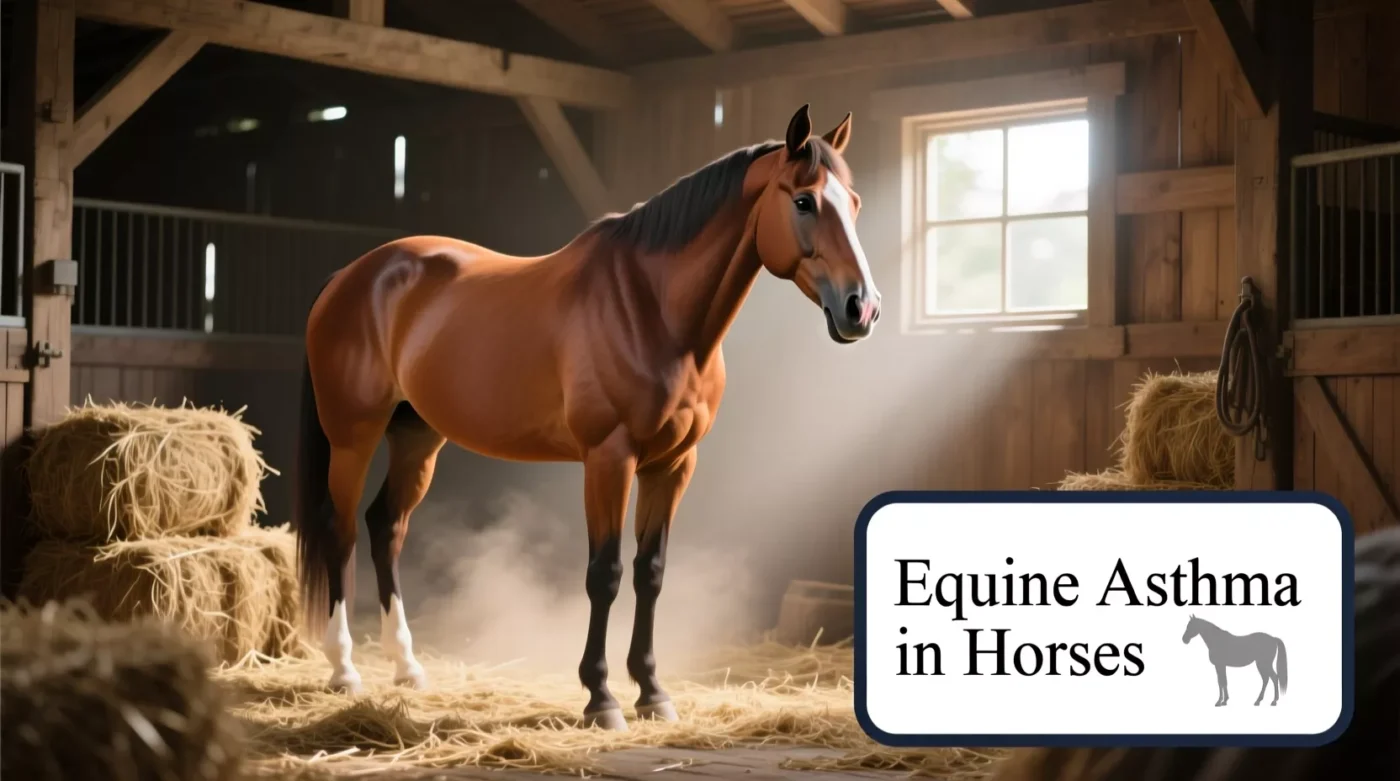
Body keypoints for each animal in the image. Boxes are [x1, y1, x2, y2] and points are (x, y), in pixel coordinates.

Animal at [292, 104, 880, 731]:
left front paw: (652, 692)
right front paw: (601, 698)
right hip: (353, 437)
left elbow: (651, 573)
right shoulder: (608, 459)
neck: (652, 309)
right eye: (804, 201)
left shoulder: (673, 465)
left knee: (387, 527)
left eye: (854, 202)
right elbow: (606, 574)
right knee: (341, 529)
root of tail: (353, 275)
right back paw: (344, 670)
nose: (862, 307)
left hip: (418, 436)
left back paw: (407, 668)